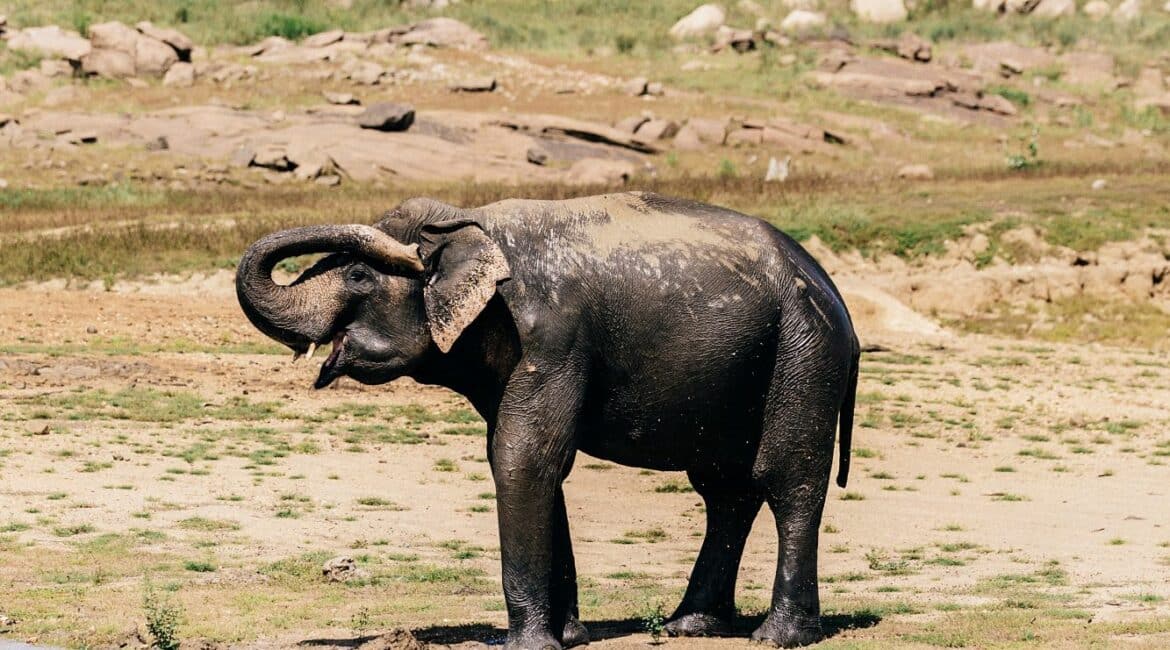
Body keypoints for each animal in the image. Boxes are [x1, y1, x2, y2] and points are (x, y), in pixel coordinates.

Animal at [236, 192, 859, 649]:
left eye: (360, 278)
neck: (474, 228)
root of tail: (837, 297)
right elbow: (534, 463)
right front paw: (570, 637)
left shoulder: (552, 341)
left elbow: (523, 458)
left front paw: (528, 646)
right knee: (725, 491)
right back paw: (692, 626)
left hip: (804, 355)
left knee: (786, 479)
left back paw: (778, 637)